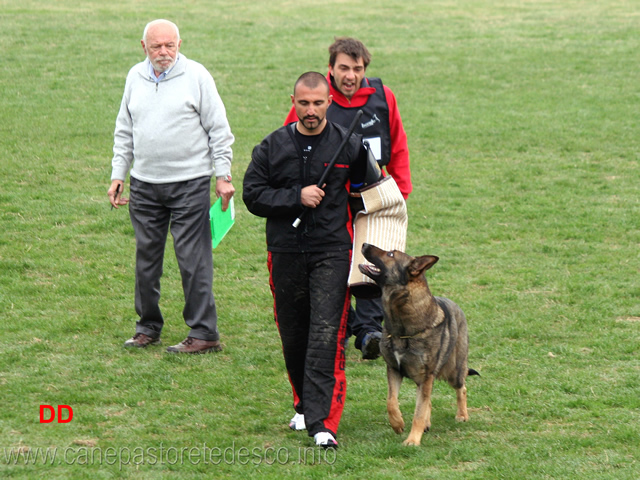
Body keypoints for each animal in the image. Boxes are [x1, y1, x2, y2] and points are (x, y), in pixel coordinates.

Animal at [358, 244, 478, 446]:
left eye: (391, 254)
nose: (364, 244)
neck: (403, 329)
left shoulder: (426, 376)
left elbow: (418, 413)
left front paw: (413, 440)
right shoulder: (394, 370)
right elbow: (391, 401)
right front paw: (398, 423)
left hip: (453, 371)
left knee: (461, 388)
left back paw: (462, 415)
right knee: (428, 400)